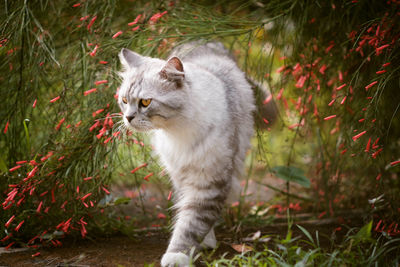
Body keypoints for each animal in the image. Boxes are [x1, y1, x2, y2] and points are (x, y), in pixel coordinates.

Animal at [118, 40, 276, 266]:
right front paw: (203, 242)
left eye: (145, 102)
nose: (128, 117)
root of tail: (204, 42)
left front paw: (177, 255)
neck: (177, 130)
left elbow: (192, 222)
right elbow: (190, 214)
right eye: (124, 100)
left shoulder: (209, 180)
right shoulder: (181, 174)